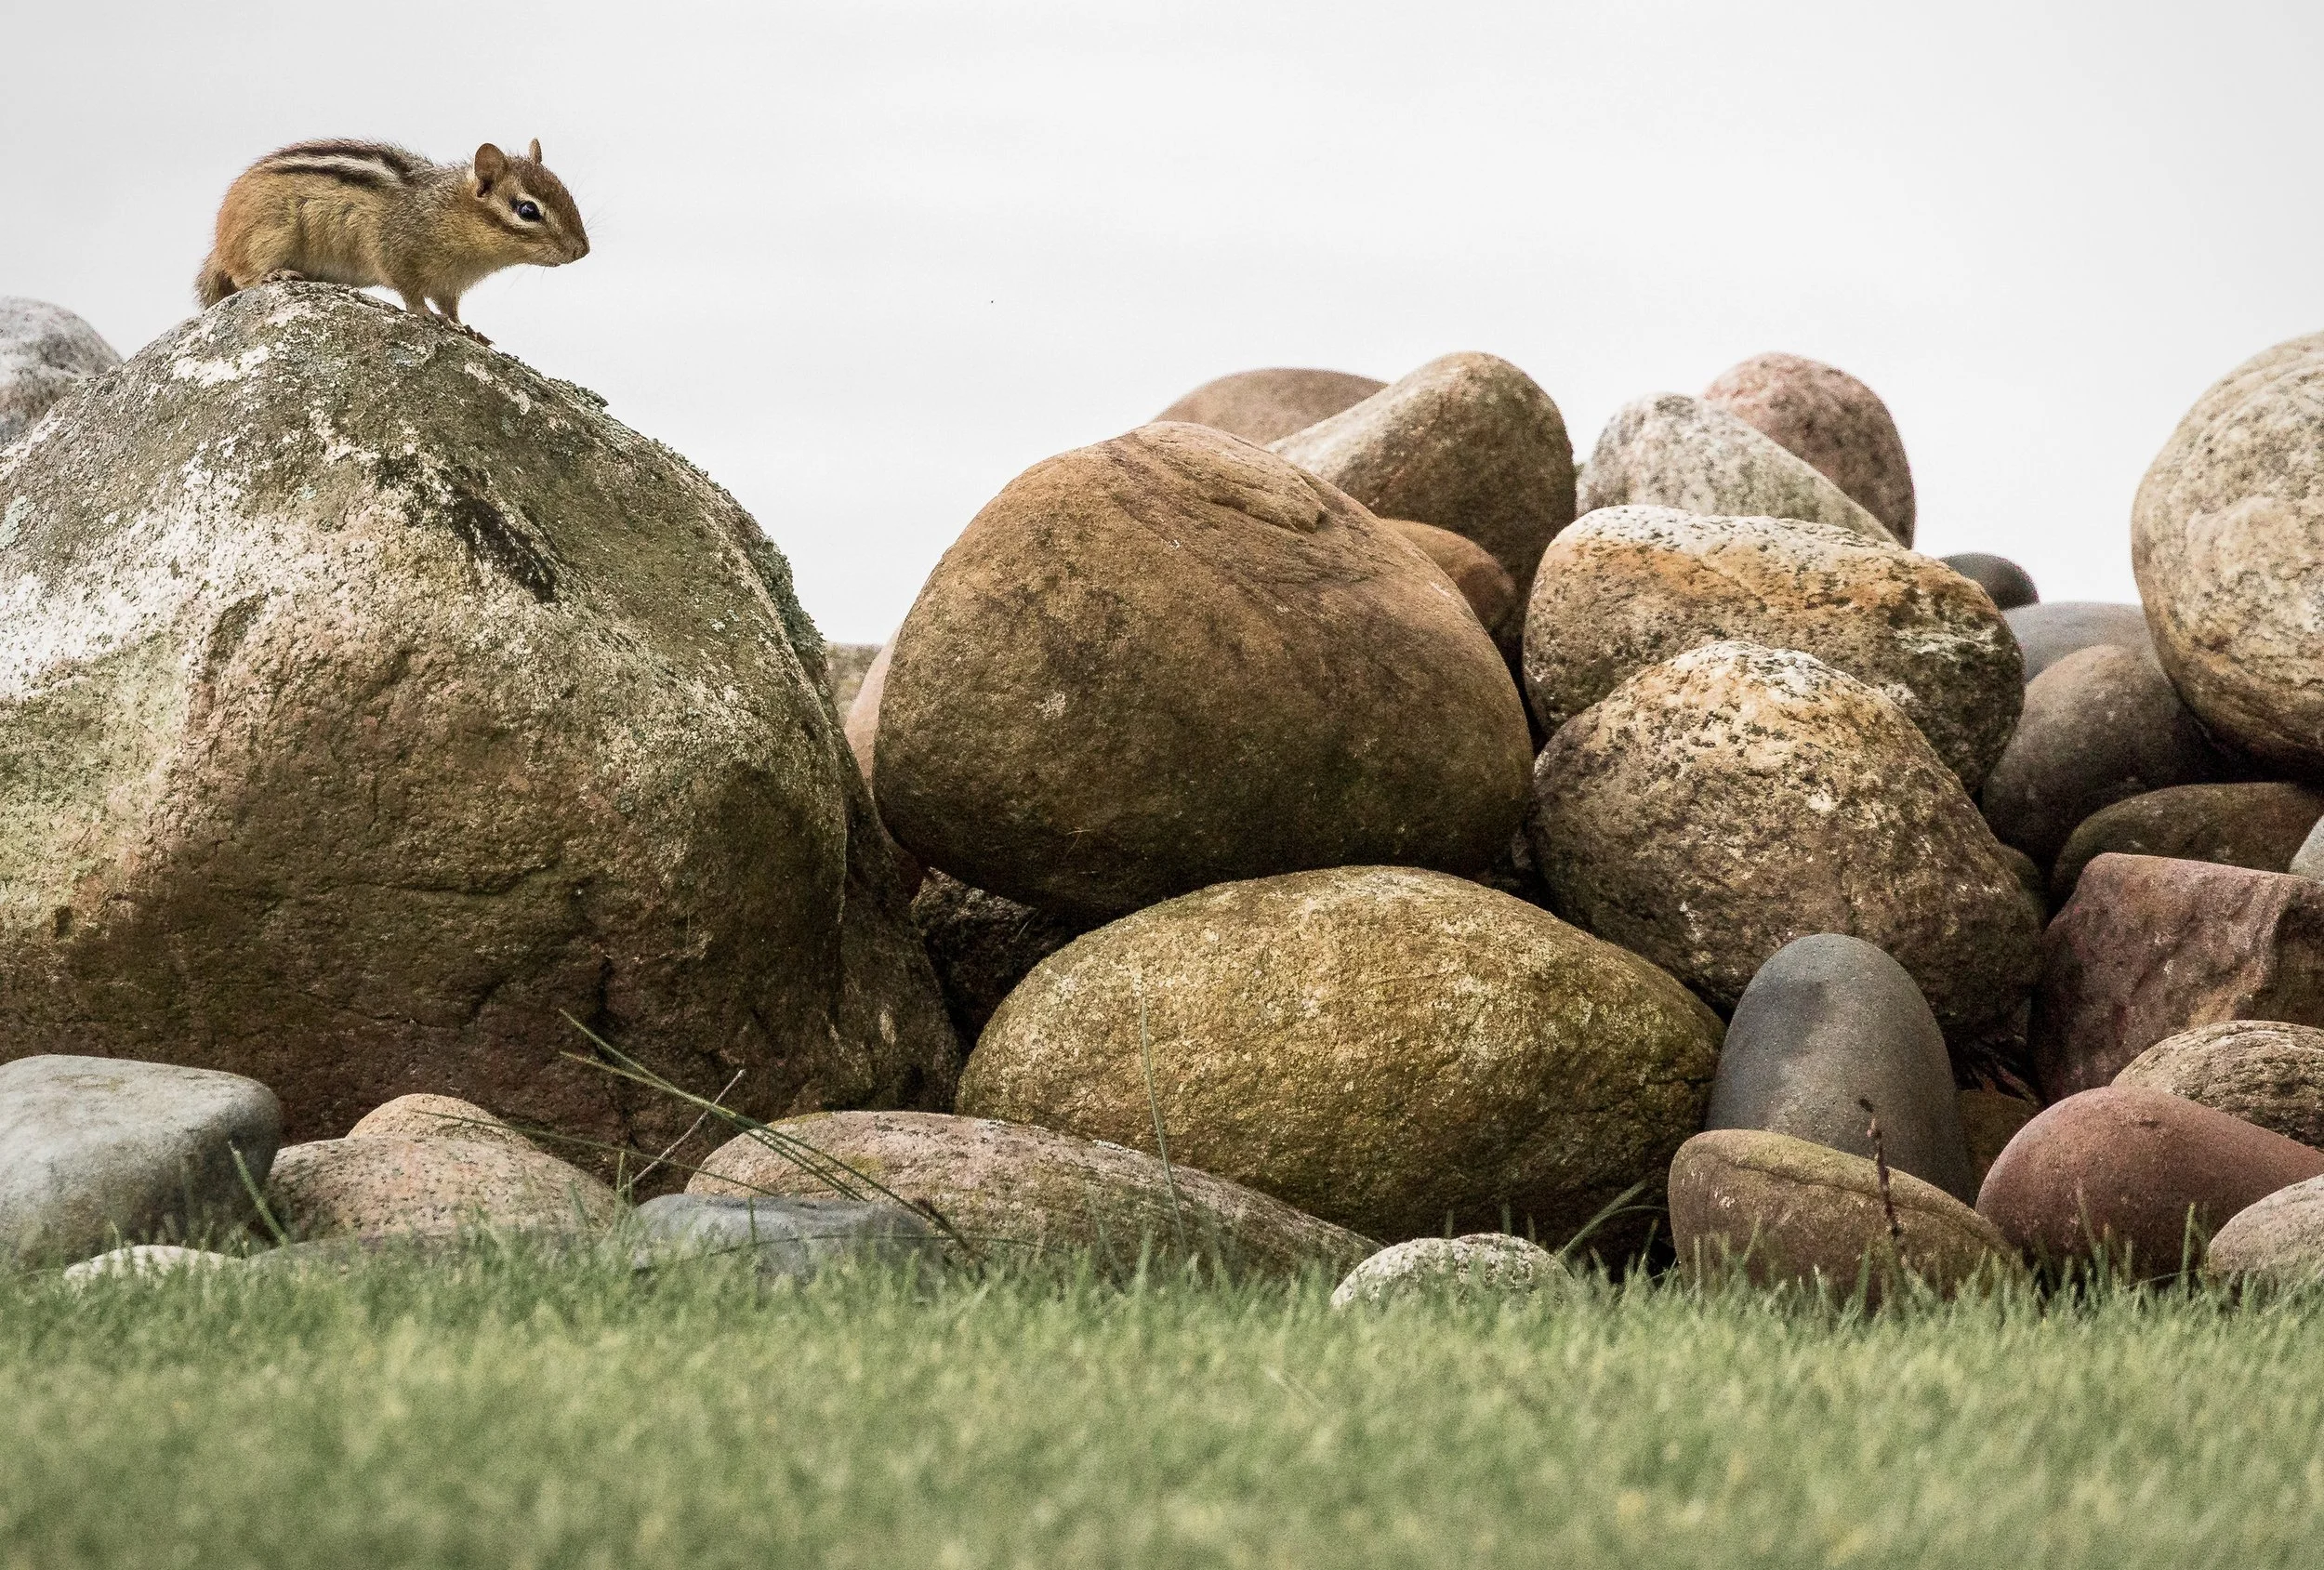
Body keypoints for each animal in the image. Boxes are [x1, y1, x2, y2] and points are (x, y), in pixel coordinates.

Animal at [195, 139, 590, 343]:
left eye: (567, 194)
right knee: (241, 273)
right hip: (268, 235)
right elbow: (411, 293)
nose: (582, 250)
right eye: (527, 210)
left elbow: (451, 307)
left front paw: (465, 329)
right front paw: (427, 315)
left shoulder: (450, 284)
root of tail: (221, 238)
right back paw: (271, 275)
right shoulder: (395, 252)